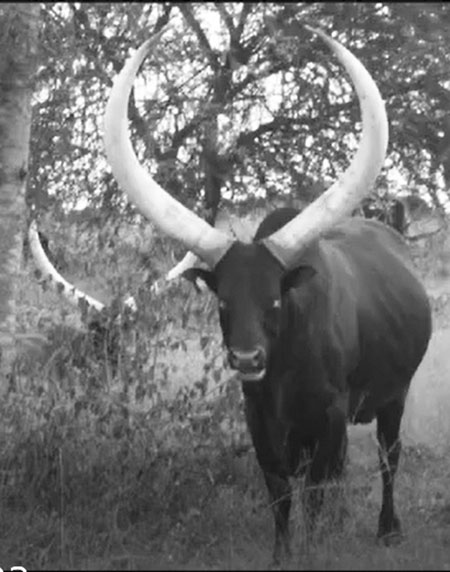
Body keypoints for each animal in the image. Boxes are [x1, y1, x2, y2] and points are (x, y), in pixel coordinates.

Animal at [187, 207, 432, 564]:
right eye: (223, 302)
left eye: (274, 300)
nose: (247, 359)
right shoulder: (257, 415)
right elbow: (280, 490)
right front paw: (281, 554)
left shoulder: (330, 413)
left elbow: (313, 489)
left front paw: (309, 551)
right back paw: (338, 522)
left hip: (395, 395)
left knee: (389, 457)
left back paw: (387, 529)